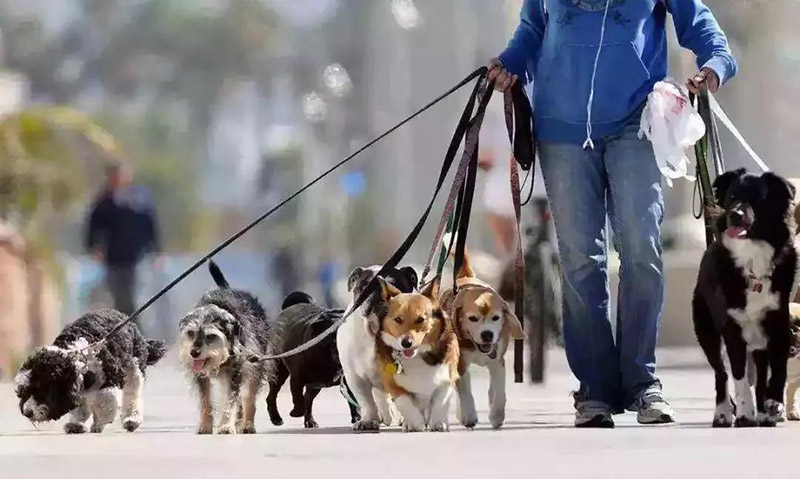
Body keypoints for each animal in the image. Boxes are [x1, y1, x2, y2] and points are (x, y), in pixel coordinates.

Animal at [14, 312, 166, 436]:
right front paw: (77, 424)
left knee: (132, 395)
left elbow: (107, 402)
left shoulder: (111, 378)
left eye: (41, 390)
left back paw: (131, 419)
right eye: (24, 391)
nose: (27, 412)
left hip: (134, 368)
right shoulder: (78, 386)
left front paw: (101, 421)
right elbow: (81, 406)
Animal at [177, 260, 270, 436]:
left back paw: (247, 424)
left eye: (211, 336)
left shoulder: (236, 371)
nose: (194, 353)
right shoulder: (201, 375)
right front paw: (206, 425)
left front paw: (226, 425)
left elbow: (230, 400)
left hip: (255, 365)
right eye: (191, 333)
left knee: (249, 397)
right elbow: (206, 399)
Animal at [266, 290, 360, 430]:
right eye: (332, 335)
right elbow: (297, 398)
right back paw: (276, 418)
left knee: (308, 399)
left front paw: (357, 416)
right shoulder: (297, 380)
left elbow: (353, 398)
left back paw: (309, 421)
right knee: (273, 396)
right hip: (278, 372)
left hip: (314, 386)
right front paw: (296, 412)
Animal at [692, 168, 796, 428]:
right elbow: (738, 375)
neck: (752, 257)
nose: (735, 215)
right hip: (705, 329)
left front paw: (773, 404)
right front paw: (745, 412)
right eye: (731, 197)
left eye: (758, 199)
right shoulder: (731, 328)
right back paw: (722, 413)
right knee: (721, 373)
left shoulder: (779, 323)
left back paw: (765, 411)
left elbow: (778, 371)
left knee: (760, 373)